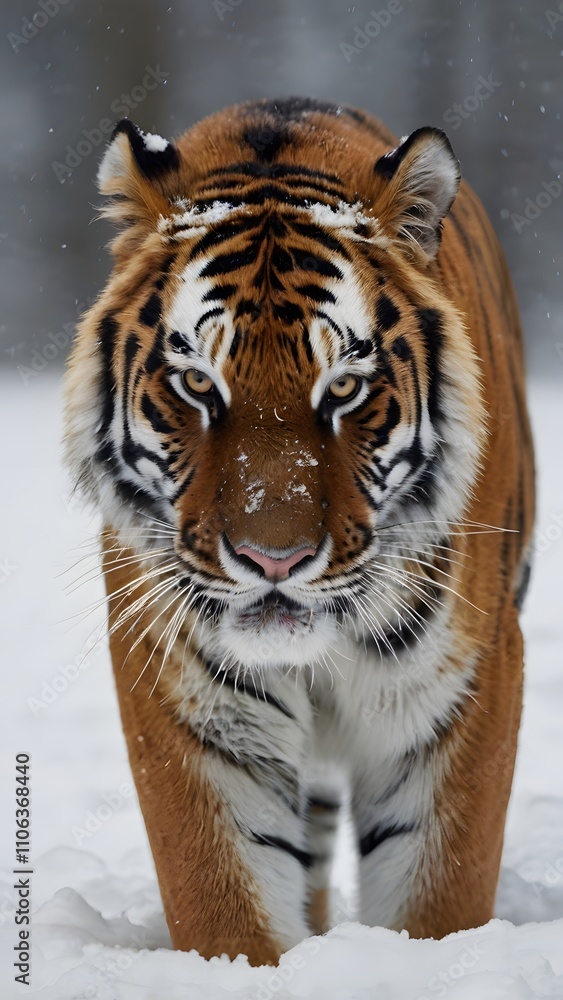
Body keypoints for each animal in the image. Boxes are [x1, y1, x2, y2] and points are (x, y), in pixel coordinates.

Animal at [63, 97, 535, 966]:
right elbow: (223, 895)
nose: (272, 559)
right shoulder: (185, 692)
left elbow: (438, 895)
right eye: (196, 383)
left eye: (343, 388)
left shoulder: (464, 682)